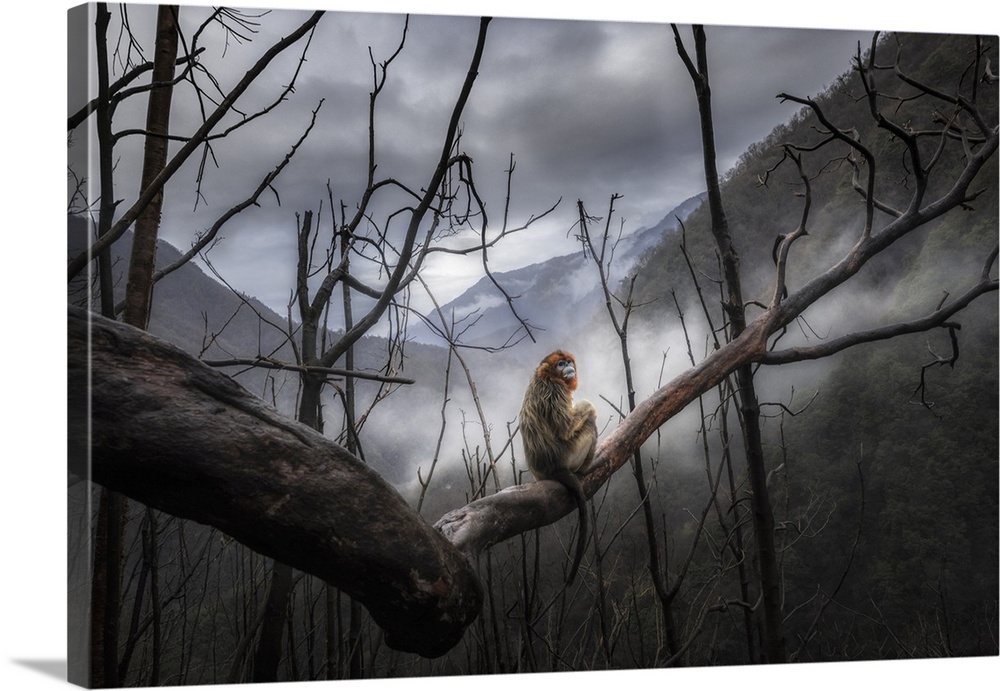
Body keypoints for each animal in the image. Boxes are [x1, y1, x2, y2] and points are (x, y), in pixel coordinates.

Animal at [518, 350, 598, 584]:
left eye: (568, 362)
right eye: (561, 364)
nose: (568, 366)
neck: (546, 377)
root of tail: (552, 469)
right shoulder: (555, 391)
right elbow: (565, 427)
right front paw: (589, 405)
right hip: (570, 454)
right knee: (589, 423)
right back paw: (584, 469)